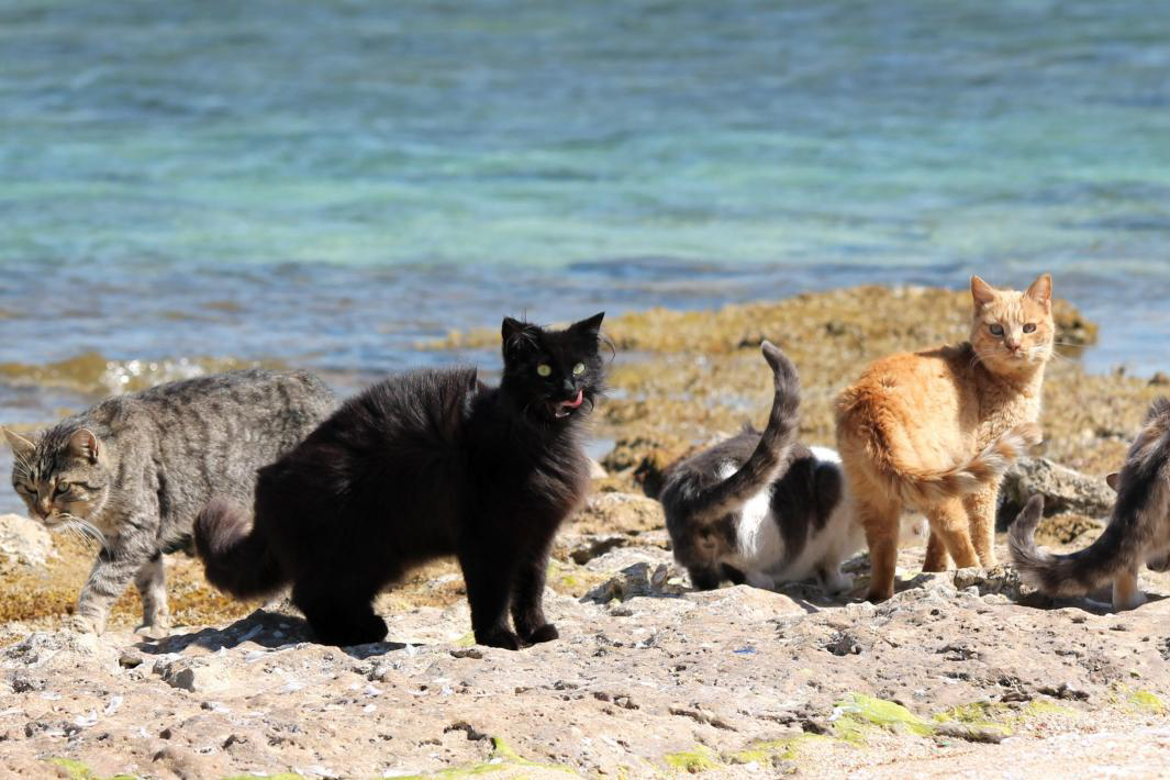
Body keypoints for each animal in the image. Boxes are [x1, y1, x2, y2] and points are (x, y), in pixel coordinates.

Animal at [2, 369, 335, 634]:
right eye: (29, 488)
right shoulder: (141, 537)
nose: (40, 513)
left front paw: (84, 622)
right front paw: (155, 624)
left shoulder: (133, 535)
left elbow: (101, 584)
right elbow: (150, 586)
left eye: (62, 487)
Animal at [195, 313, 606, 649]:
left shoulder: (536, 537)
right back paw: (347, 635)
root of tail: (268, 480)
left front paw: (536, 632)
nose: (569, 388)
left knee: (334, 596)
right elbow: (491, 595)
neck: (541, 439)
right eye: (543, 371)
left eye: (579, 366)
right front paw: (498, 639)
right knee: (310, 596)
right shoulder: (486, 538)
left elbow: (531, 590)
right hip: (353, 551)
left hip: (376, 556)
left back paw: (368, 628)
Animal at [661, 342, 926, 594]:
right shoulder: (832, 539)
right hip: (758, 534)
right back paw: (763, 581)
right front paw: (842, 583)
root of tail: (691, 488)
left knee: (704, 577)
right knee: (735, 563)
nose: (925, 526)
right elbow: (829, 572)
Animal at [835, 274, 1052, 602]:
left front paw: (934, 569)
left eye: (1029, 328)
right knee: (956, 531)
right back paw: (978, 573)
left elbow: (935, 544)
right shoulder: (983, 476)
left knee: (884, 552)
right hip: (937, 485)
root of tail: (871, 404)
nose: (1013, 345)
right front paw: (988, 564)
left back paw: (880, 596)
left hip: (874, 495)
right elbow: (982, 529)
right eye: (996, 329)